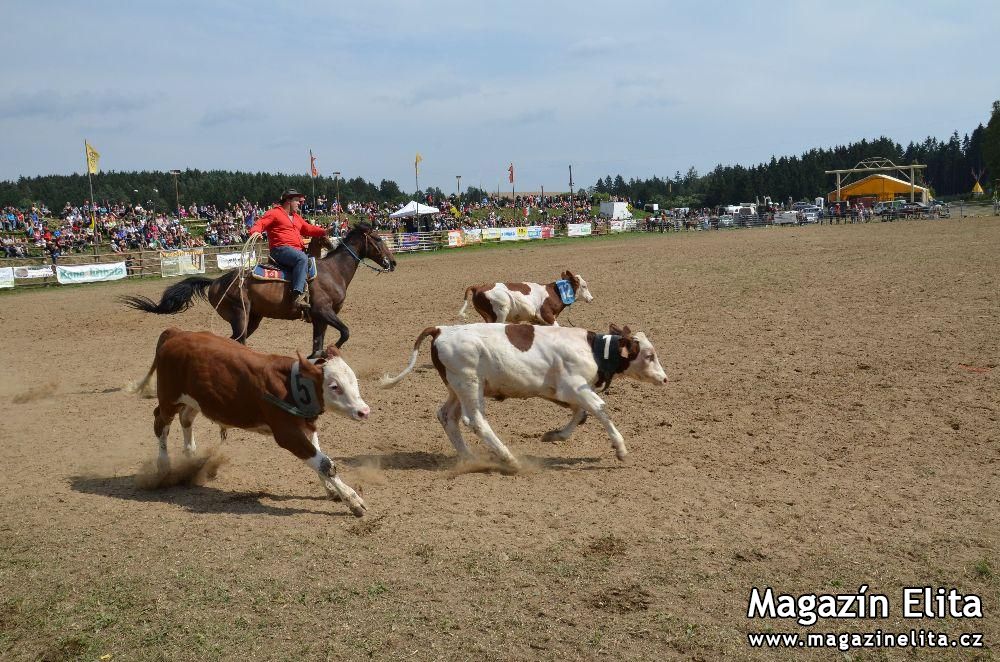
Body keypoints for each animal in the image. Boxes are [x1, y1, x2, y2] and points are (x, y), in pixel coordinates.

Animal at [121, 223, 394, 358]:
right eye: (379, 239)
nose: (393, 262)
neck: (332, 272)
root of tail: (217, 281)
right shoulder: (323, 311)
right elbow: (344, 333)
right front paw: (330, 352)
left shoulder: (319, 317)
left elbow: (317, 343)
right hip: (240, 316)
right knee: (237, 341)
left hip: (252, 318)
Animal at [131, 330, 370, 520]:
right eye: (334, 386)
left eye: (354, 380)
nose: (364, 411)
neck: (291, 386)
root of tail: (175, 333)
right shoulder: (287, 434)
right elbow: (325, 463)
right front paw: (353, 500)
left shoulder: (307, 426)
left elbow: (321, 459)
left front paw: (332, 490)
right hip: (168, 398)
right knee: (161, 422)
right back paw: (164, 465)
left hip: (195, 400)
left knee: (186, 419)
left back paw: (191, 458)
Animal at [378, 324, 668, 470]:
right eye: (649, 355)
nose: (665, 379)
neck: (593, 349)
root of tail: (440, 329)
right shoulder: (574, 386)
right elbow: (599, 409)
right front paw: (620, 449)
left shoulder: (567, 392)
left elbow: (580, 414)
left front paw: (554, 435)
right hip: (470, 384)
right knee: (476, 421)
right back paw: (508, 458)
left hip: (457, 387)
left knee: (447, 416)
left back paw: (470, 458)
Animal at [458, 272, 592, 326]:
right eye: (584, 286)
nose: (591, 298)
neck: (556, 293)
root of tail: (478, 287)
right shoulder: (546, 315)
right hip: (501, 312)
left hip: (488, 317)